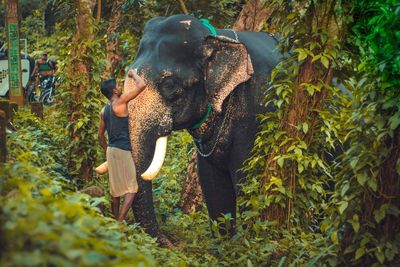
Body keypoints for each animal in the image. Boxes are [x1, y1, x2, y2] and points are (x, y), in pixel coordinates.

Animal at [125, 14, 282, 245]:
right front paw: (224, 249)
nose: (172, 243)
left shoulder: (256, 114)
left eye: (170, 85)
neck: (217, 36)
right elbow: (213, 186)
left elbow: (246, 183)